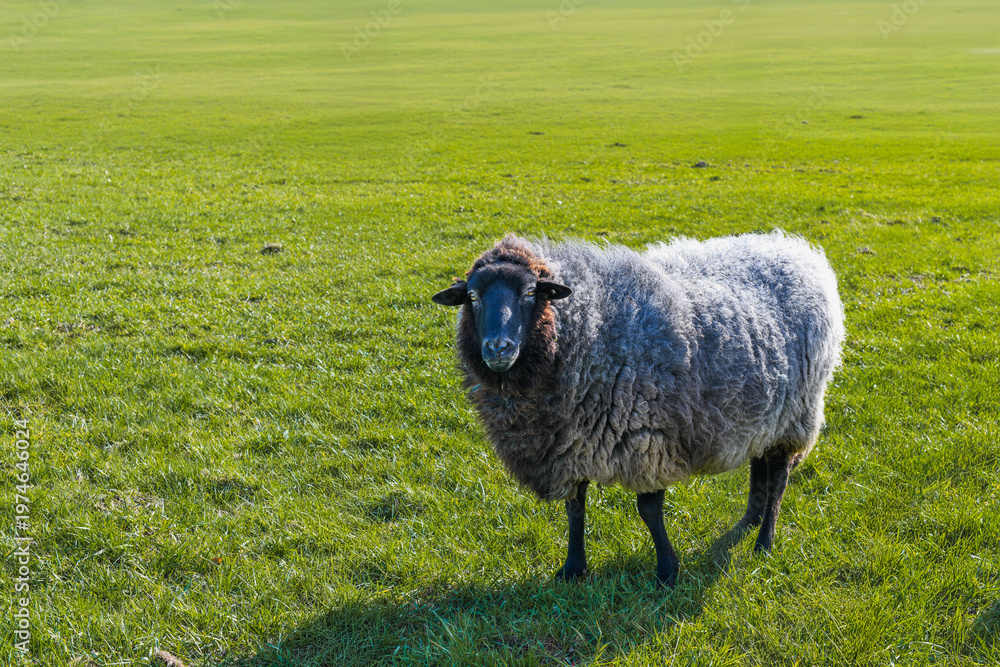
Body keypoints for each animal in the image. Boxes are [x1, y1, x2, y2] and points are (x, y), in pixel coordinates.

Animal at [432, 232, 844, 587]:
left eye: (531, 291)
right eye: (472, 296)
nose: (498, 348)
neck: (587, 334)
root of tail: (798, 251)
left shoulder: (647, 437)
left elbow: (648, 509)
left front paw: (667, 572)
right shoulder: (570, 443)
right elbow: (575, 507)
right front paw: (573, 568)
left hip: (797, 413)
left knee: (779, 478)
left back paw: (764, 541)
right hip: (765, 409)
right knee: (760, 463)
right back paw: (748, 521)